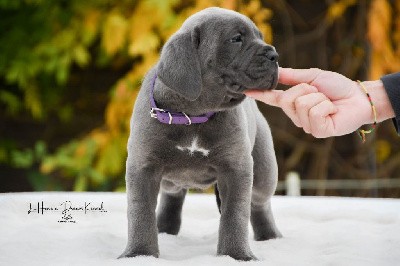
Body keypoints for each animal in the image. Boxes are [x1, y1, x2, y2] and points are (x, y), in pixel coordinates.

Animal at [119, 7, 282, 260]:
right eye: (236, 39)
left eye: (261, 37)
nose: (274, 55)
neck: (193, 115)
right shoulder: (143, 166)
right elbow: (140, 212)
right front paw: (139, 254)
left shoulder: (236, 168)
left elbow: (235, 215)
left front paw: (236, 255)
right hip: (171, 178)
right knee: (173, 196)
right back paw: (165, 228)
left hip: (264, 172)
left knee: (259, 204)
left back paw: (270, 237)